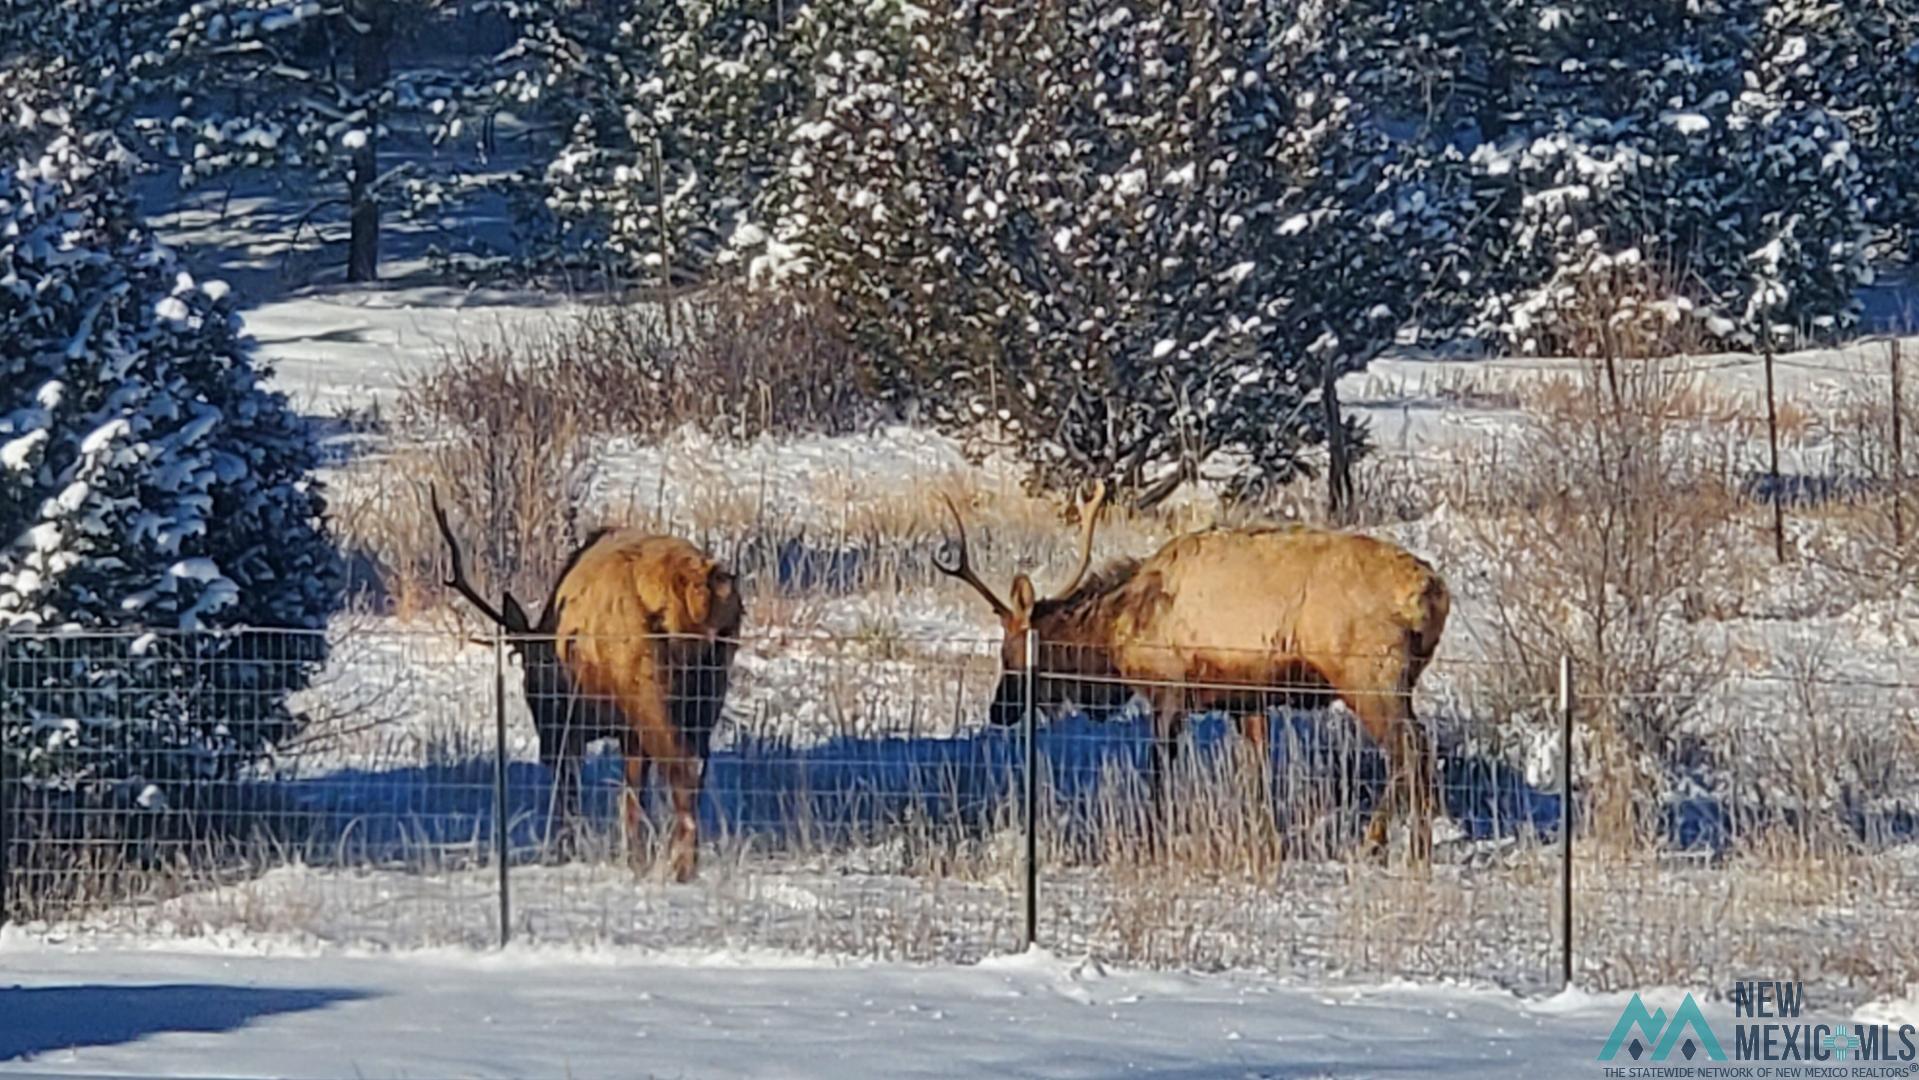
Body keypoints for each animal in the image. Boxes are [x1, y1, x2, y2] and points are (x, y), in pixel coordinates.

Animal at [429, 485, 740, 882]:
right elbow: (632, 797)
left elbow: (577, 791)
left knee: (681, 767)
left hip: (645, 686)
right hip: (710, 688)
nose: (545, 752)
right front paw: (634, 861)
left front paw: (570, 852)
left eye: (533, 676)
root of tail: (696, 590)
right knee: (696, 768)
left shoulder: (576, 724)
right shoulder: (626, 731)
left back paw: (681, 870)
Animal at [936, 485, 1443, 867]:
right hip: (1396, 680)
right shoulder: (1247, 698)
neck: (1113, 634)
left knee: (1408, 747)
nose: (998, 711)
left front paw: (1153, 840)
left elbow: (1159, 769)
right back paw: (1420, 847)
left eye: (1011, 654)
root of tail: (1433, 594)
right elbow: (1255, 775)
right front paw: (1266, 843)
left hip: (1366, 675)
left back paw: (1380, 842)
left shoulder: (1169, 690)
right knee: (1420, 743)